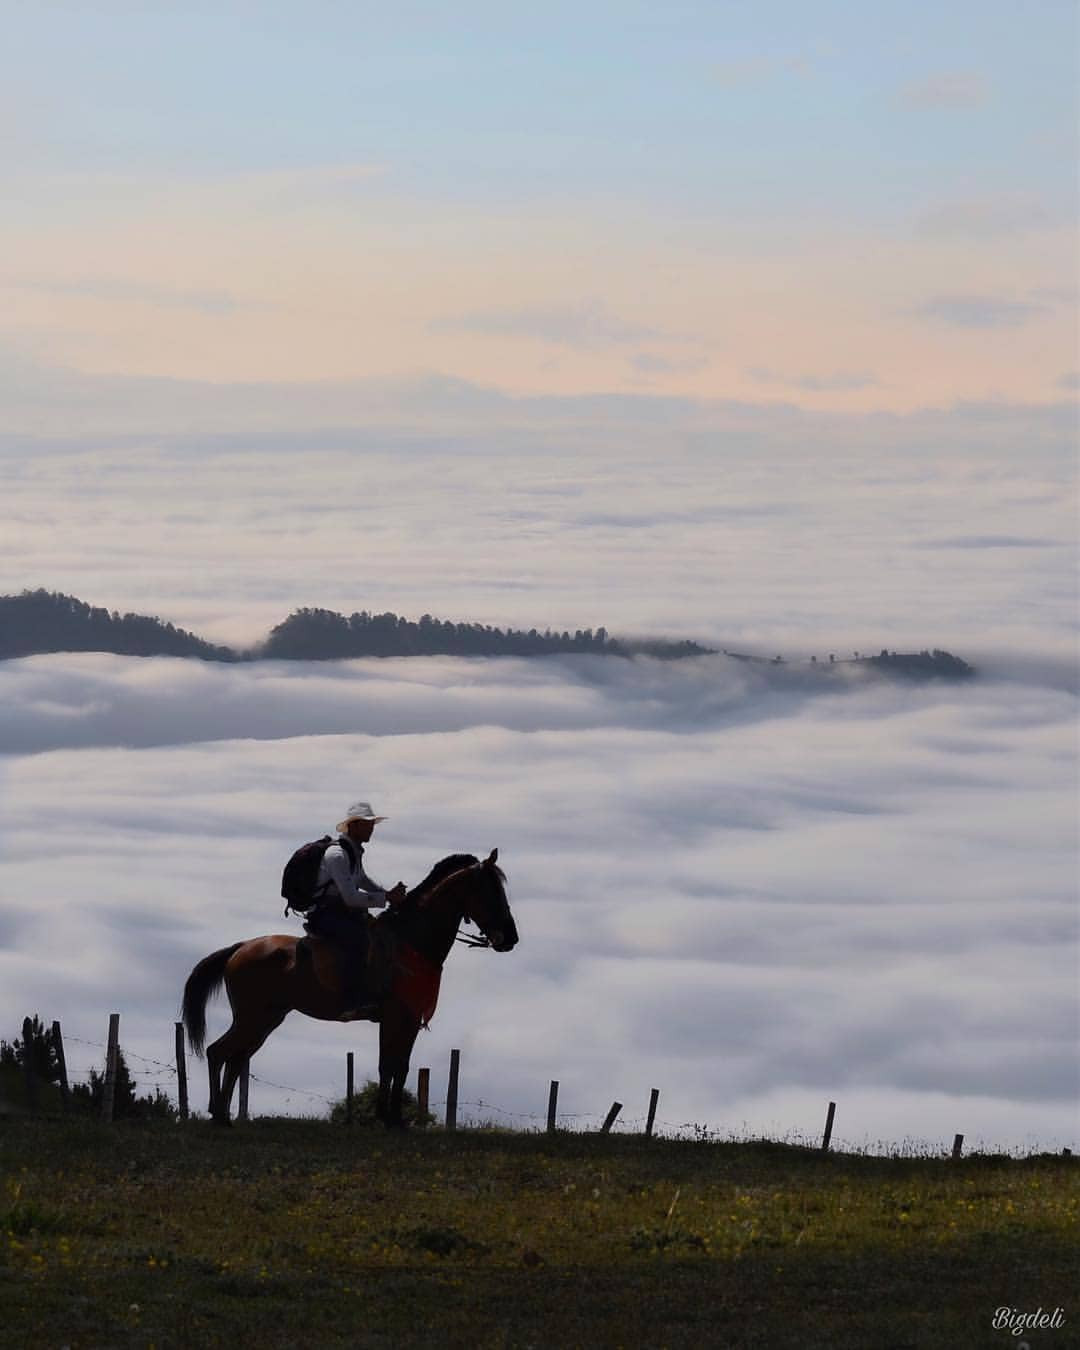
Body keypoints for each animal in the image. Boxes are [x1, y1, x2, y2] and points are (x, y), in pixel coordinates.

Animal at [180, 853, 518, 1128]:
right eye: (491, 891)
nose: (510, 938)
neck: (411, 943)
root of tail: (240, 948)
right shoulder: (397, 1017)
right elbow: (389, 1065)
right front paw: (388, 1118)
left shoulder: (407, 1021)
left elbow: (399, 1066)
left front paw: (392, 1117)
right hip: (252, 1019)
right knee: (218, 1052)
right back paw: (217, 1114)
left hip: (264, 1021)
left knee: (235, 1058)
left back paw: (223, 1115)